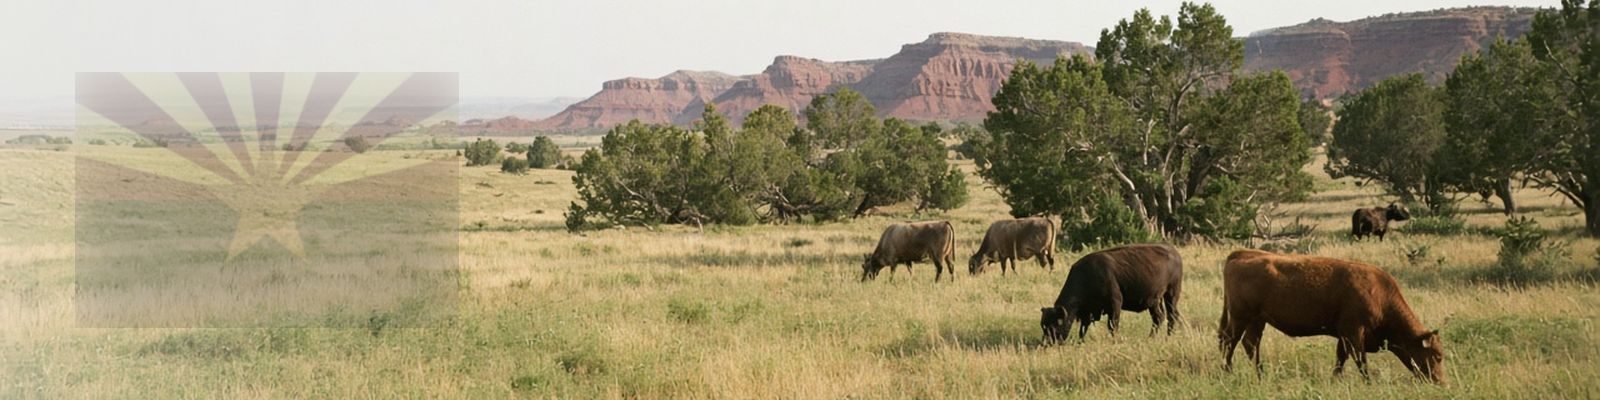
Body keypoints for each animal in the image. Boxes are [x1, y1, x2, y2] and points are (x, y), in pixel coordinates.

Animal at [1040, 244, 1183, 342]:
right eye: (1043, 326)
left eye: (1056, 324)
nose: (1048, 343)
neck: (1087, 276)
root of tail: (1175, 252)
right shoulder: (1088, 312)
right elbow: (1083, 329)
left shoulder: (1115, 304)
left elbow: (1113, 325)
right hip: (1154, 301)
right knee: (1159, 317)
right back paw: (1151, 338)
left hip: (1171, 295)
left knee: (1172, 316)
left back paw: (1168, 337)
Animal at [1219, 249, 1444, 383]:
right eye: (1437, 355)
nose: (1440, 381)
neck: (1379, 294)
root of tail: (1240, 254)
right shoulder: (1354, 333)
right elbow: (1360, 360)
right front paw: (1368, 382)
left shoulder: (1344, 335)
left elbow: (1341, 358)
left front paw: (1335, 378)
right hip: (1240, 317)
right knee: (1230, 341)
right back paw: (1229, 371)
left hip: (1257, 320)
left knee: (1250, 344)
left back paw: (1260, 374)